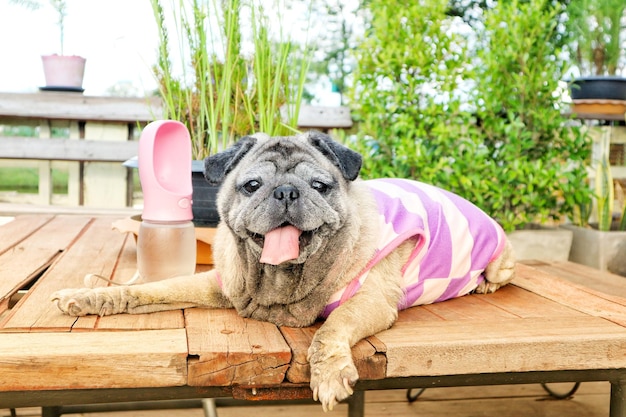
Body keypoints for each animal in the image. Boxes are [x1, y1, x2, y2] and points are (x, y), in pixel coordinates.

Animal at [52, 130, 512, 410]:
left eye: (320, 186)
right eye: (253, 185)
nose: (287, 191)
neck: (278, 280)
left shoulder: (371, 302)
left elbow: (331, 328)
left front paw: (330, 374)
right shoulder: (219, 284)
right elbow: (153, 288)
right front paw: (89, 296)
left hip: (500, 259)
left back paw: (483, 286)